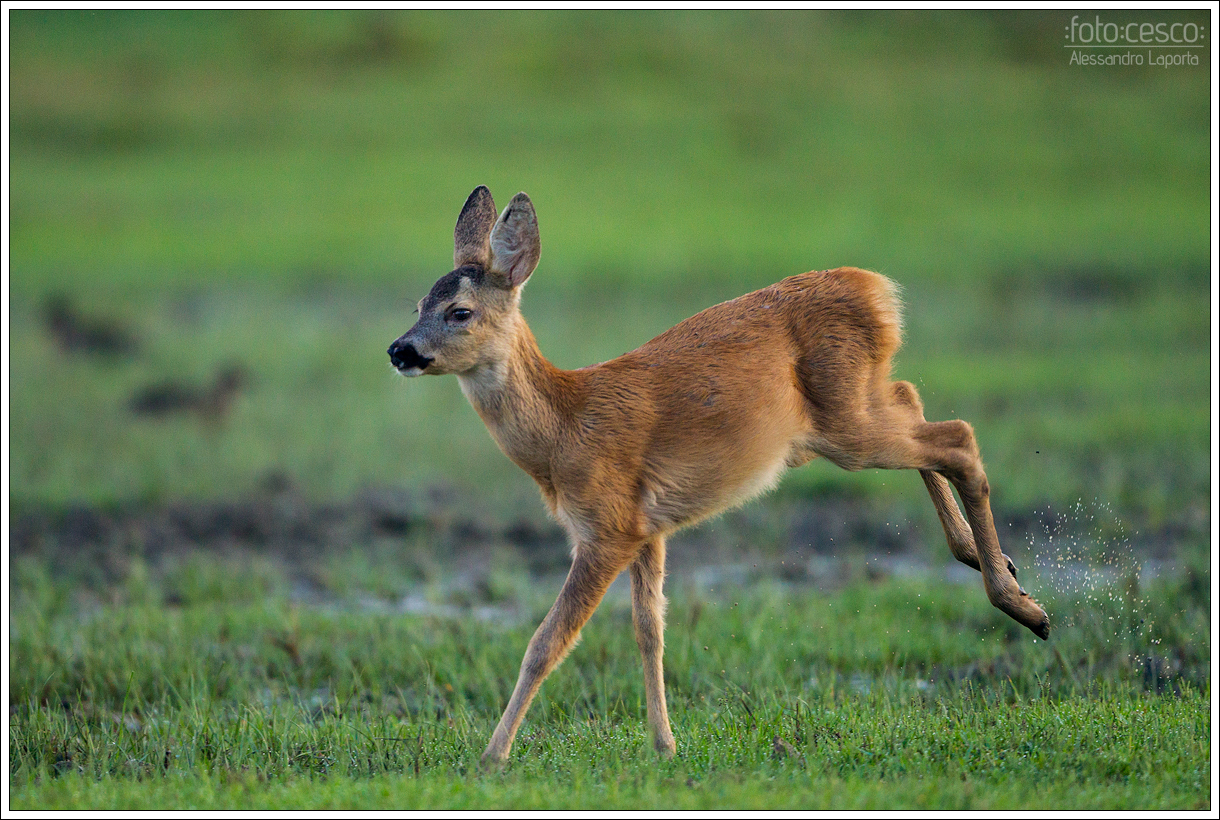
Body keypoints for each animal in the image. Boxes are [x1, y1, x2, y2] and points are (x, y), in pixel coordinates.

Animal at [388, 186, 1050, 766]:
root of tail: (878, 290)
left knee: (957, 438)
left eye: (460, 311)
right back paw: (990, 564)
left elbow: (545, 643)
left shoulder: (606, 526)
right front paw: (664, 746)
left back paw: (1024, 606)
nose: (400, 351)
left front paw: (492, 757)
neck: (564, 429)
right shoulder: (649, 528)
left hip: (845, 425)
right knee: (917, 403)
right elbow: (650, 630)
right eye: (417, 305)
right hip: (849, 411)